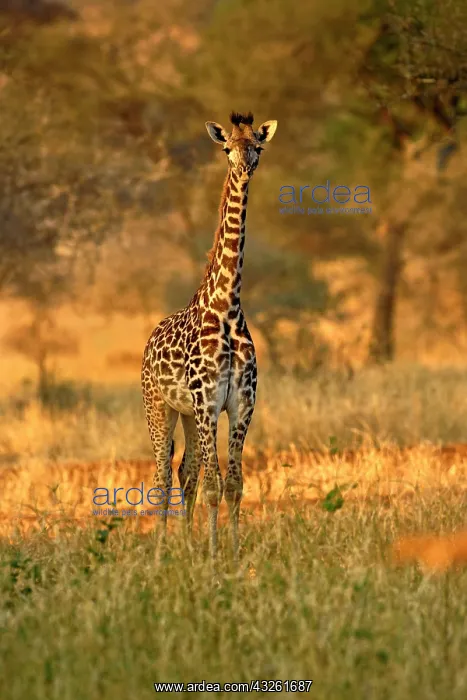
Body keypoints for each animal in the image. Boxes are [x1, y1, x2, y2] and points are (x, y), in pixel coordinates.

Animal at [141, 111, 277, 562]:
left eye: (257, 145)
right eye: (226, 148)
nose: (244, 167)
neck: (226, 306)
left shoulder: (241, 404)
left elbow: (233, 484)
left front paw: (231, 555)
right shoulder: (208, 403)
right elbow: (215, 487)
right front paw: (216, 559)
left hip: (185, 413)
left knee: (186, 471)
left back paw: (184, 546)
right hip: (159, 407)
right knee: (163, 474)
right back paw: (160, 552)